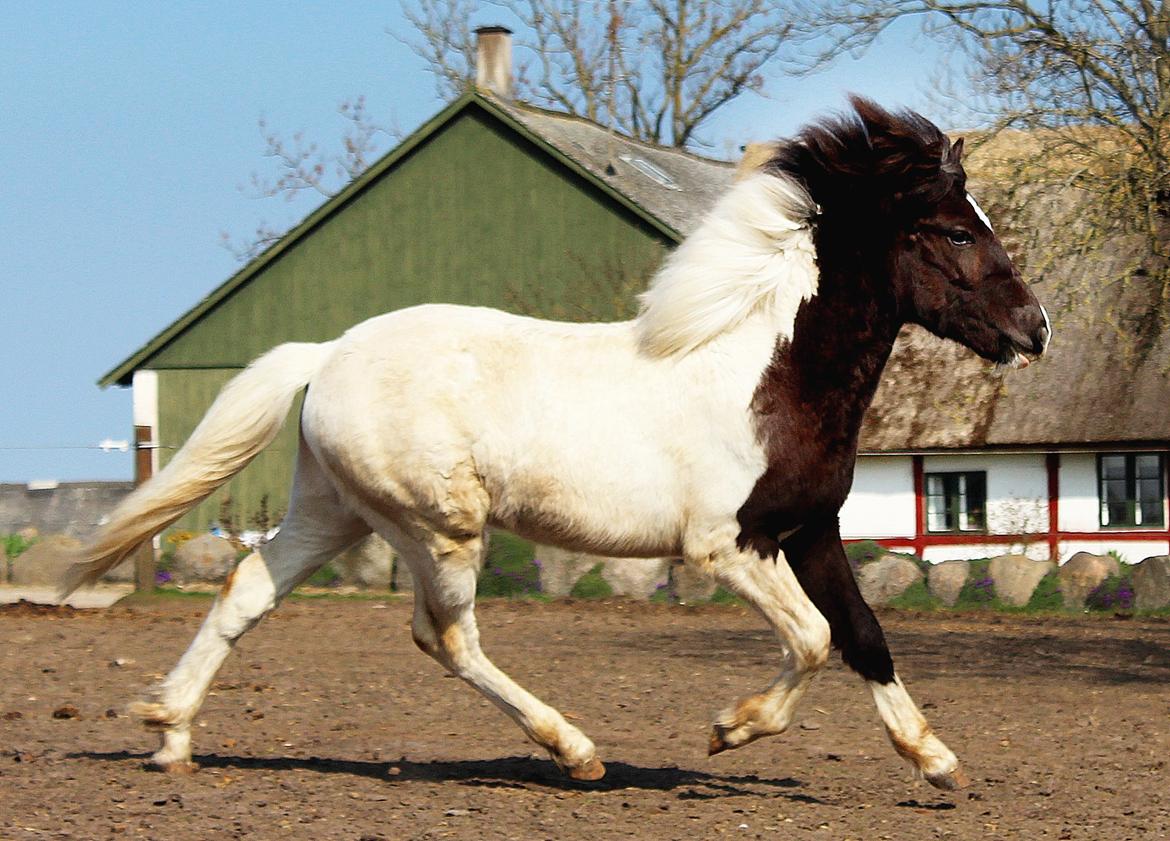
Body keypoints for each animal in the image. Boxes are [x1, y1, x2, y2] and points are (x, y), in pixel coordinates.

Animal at [64, 97, 1053, 790]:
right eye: (957, 230)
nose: (1035, 328)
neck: (768, 375)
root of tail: (330, 351)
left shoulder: (808, 529)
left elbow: (864, 634)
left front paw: (936, 759)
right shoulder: (725, 544)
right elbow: (813, 639)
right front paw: (728, 727)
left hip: (334, 511)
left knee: (247, 590)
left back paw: (171, 735)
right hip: (439, 528)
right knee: (444, 636)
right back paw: (575, 749)